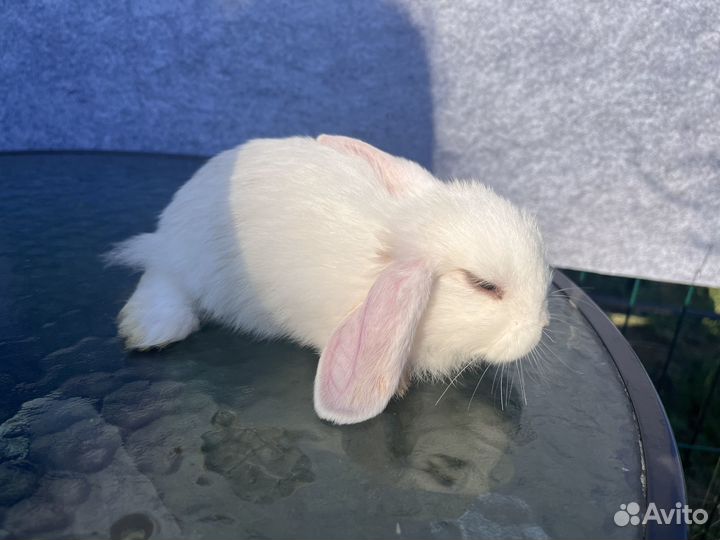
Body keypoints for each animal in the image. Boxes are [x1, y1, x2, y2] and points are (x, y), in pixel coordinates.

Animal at [109, 135, 551, 424]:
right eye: (484, 285)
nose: (540, 327)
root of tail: (167, 230)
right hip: (188, 264)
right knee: (163, 279)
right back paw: (149, 331)